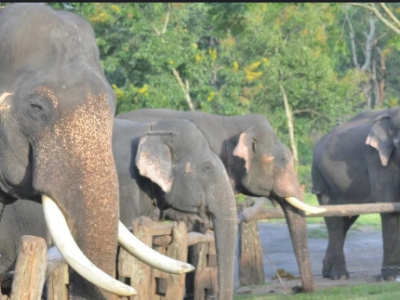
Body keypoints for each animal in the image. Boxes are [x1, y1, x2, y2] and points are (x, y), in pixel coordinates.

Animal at [312, 106, 400, 280]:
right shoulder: (376, 159)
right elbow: (390, 209)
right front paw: (390, 277)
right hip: (321, 178)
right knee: (334, 221)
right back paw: (339, 276)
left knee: (346, 220)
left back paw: (327, 273)